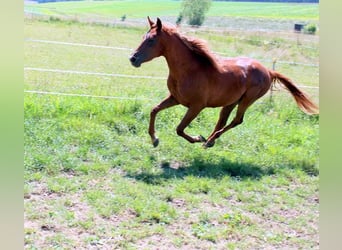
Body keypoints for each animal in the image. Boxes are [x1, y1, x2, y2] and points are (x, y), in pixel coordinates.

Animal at [129, 17, 318, 148]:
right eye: (144, 36)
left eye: (151, 40)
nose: (133, 59)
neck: (189, 71)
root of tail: (269, 71)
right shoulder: (175, 98)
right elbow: (154, 110)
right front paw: (155, 139)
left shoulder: (196, 106)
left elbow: (179, 129)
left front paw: (197, 138)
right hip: (231, 102)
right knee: (223, 120)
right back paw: (209, 141)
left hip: (247, 100)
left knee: (237, 120)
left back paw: (208, 141)